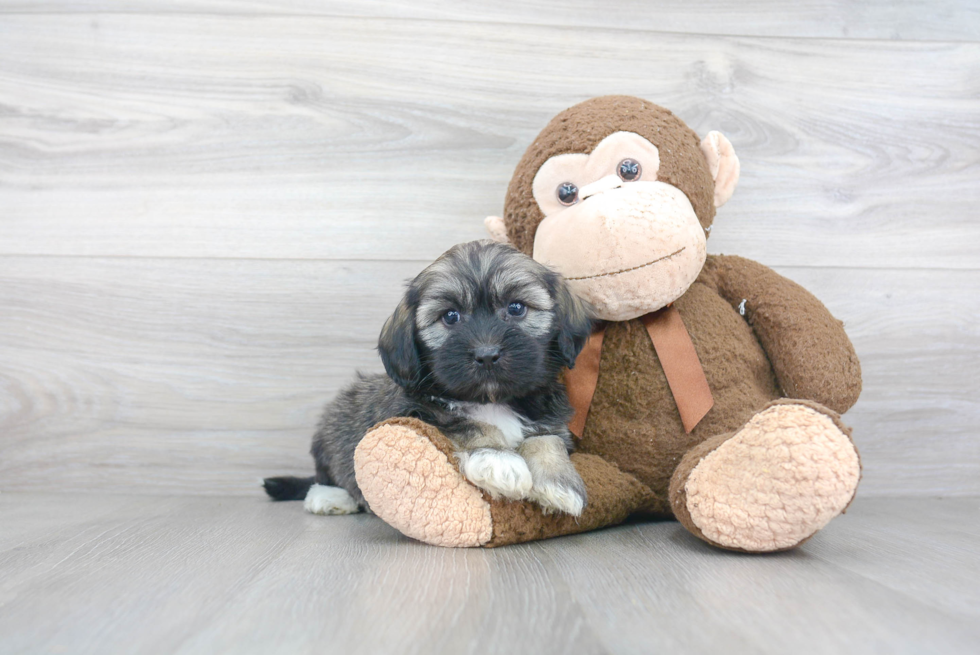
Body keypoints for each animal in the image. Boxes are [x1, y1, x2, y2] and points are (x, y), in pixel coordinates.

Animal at [262, 240, 588, 516]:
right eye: (450, 316)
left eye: (517, 307)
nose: (486, 354)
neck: (491, 400)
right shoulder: (414, 412)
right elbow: (468, 424)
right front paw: (498, 459)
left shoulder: (551, 417)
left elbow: (547, 439)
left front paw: (559, 482)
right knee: (327, 474)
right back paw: (330, 497)